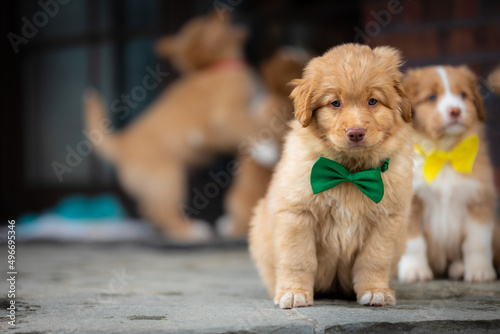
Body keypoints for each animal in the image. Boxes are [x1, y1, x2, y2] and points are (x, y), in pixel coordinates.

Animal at [85, 12, 254, 240]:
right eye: (206, 21)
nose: (220, 11)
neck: (211, 68)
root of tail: (123, 144)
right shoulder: (226, 118)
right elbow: (251, 127)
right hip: (169, 179)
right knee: (163, 210)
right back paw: (189, 231)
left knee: (150, 209)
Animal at [249, 43, 414, 310]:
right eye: (335, 103)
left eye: (373, 101)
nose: (356, 133)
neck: (349, 172)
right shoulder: (296, 214)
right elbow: (298, 259)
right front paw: (294, 293)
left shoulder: (387, 221)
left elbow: (374, 260)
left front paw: (375, 291)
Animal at [398, 64, 496, 282]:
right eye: (432, 97)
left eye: (463, 95)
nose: (456, 110)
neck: (444, 154)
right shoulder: (412, 204)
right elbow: (413, 243)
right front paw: (415, 270)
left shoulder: (477, 200)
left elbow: (476, 242)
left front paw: (479, 270)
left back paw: (458, 268)